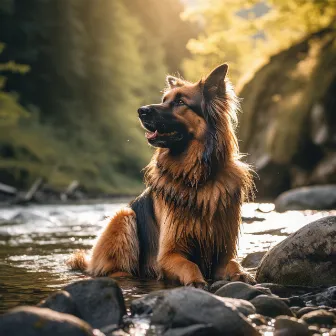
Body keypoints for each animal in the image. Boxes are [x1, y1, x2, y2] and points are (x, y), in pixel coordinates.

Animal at [67, 64, 255, 288]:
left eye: (180, 102)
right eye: (164, 99)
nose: (141, 111)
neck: (197, 177)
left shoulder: (223, 252)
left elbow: (233, 263)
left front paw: (242, 275)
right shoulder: (168, 255)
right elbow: (189, 265)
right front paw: (196, 282)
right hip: (124, 216)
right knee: (114, 269)